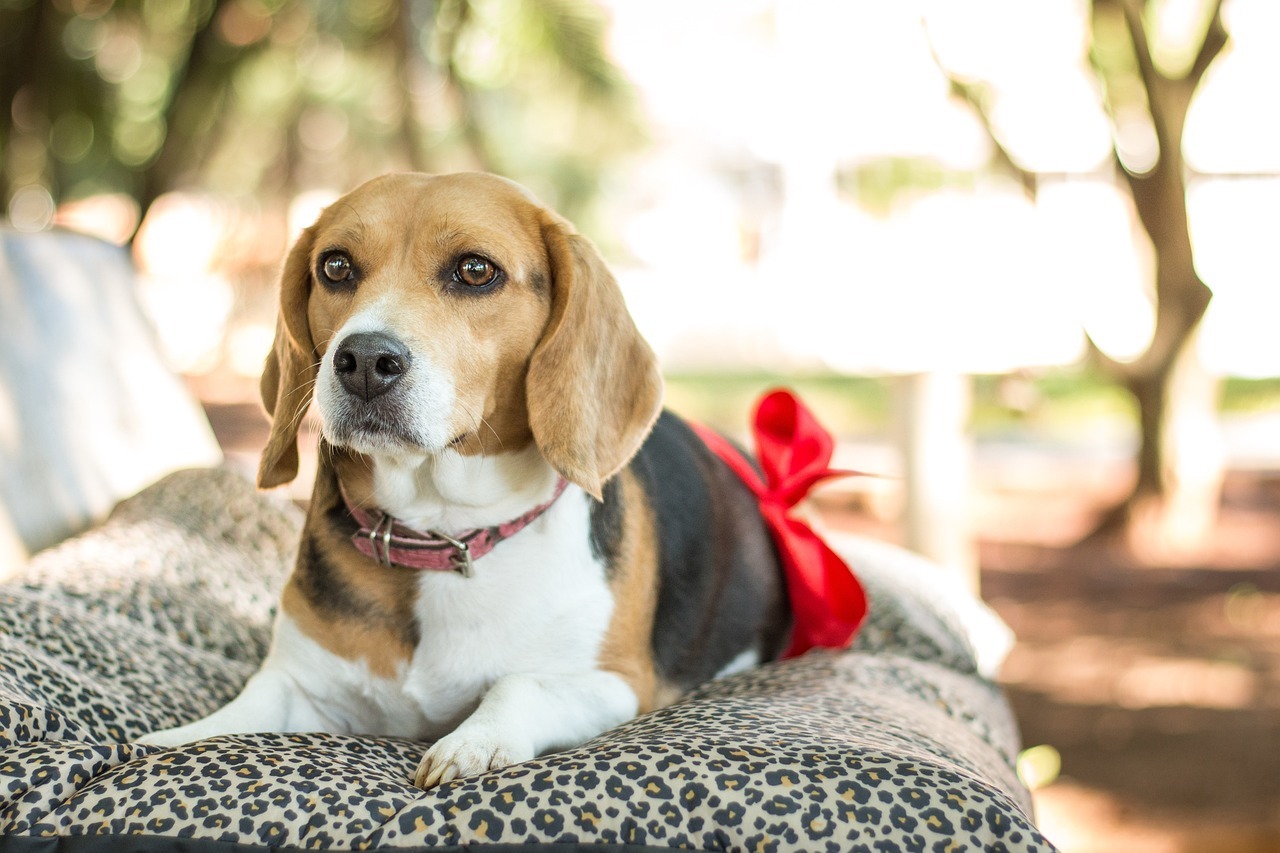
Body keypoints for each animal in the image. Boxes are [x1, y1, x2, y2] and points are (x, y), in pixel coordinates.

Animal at [147, 171, 788, 783]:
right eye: (335, 266)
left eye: (475, 270)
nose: (363, 361)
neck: (441, 532)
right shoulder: (300, 679)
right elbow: (241, 712)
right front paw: (167, 742)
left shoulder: (617, 683)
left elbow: (519, 684)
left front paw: (473, 742)